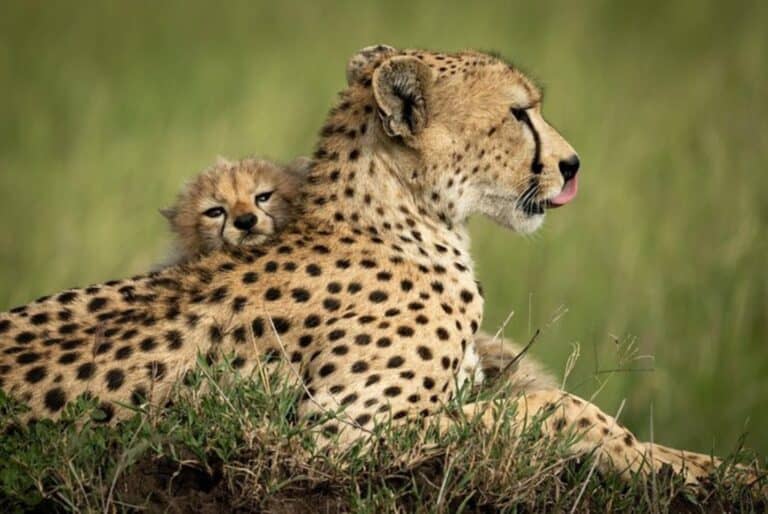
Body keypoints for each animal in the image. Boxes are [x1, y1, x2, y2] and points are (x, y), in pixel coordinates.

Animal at [0, 46, 756, 486]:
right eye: (520, 114)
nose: (571, 165)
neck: (402, 216)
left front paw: (712, 466)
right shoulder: (338, 432)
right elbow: (553, 408)